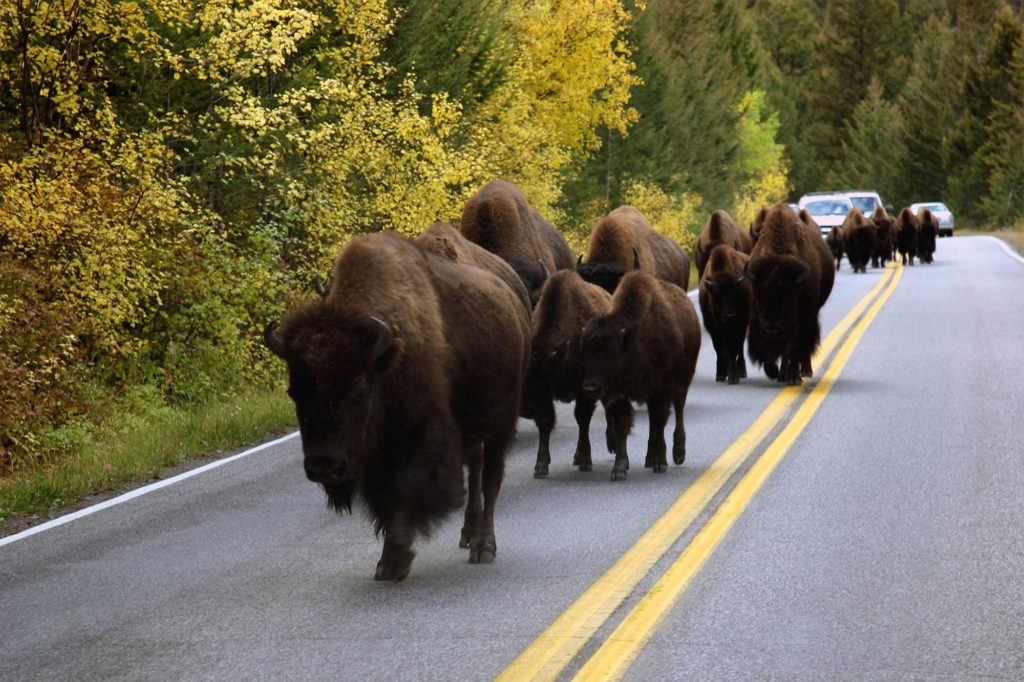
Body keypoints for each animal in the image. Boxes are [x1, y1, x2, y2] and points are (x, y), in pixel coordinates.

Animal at [260, 231, 532, 577]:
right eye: (294, 392)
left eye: (358, 389)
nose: (324, 466)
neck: (387, 361)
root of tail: (512, 300)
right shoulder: (376, 457)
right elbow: (386, 501)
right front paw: (388, 561)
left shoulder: (421, 439)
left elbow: (406, 490)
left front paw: (395, 559)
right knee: (477, 470)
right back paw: (469, 535)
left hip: (501, 422)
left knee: (491, 479)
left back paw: (483, 547)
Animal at [520, 268, 630, 475]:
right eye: (522, 377)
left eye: (544, 374)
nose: (526, 409)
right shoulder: (548, 399)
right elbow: (546, 423)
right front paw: (541, 464)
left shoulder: (584, 390)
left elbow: (582, 418)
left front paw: (585, 460)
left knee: (610, 411)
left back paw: (612, 445)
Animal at [581, 268, 700, 481]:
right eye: (585, 350)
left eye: (611, 352)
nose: (590, 387)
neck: (632, 341)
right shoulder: (620, 393)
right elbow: (623, 424)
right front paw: (619, 468)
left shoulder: (662, 388)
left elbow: (659, 420)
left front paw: (661, 462)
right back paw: (650, 458)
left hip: (683, 382)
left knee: (677, 411)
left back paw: (677, 453)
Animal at [696, 242, 753, 382]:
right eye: (717, 294)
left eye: (735, 293)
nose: (729, 316)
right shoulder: (713, 326)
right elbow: (719, 347)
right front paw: (721, 374)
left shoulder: (739, 324)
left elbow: (733, 348)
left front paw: (733, 377)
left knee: (740, 348)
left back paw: (741, 371)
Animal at [749, 201, 835, 382]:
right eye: (759, 296)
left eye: (788, 298)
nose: (772, 330)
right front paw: (773, 371)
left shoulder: (800, 316)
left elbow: (795, 347)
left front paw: (793, 376)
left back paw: (803, 371)